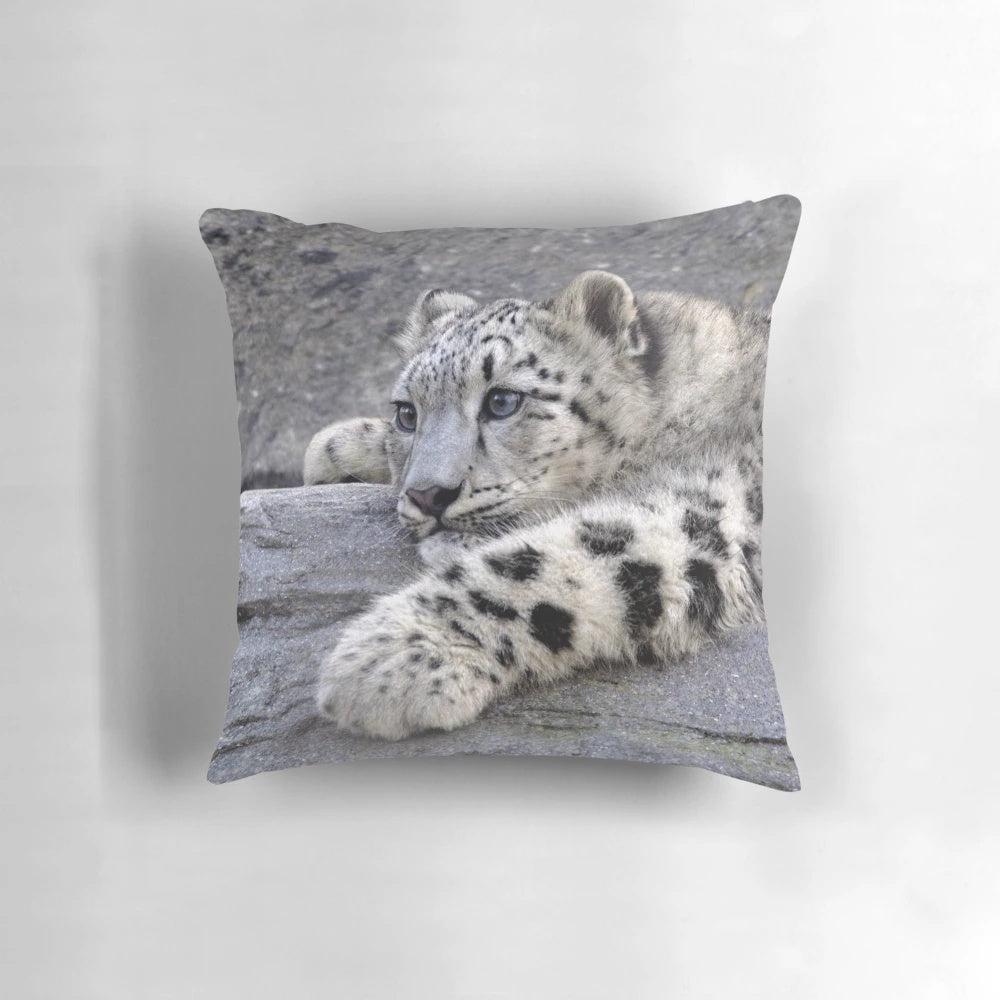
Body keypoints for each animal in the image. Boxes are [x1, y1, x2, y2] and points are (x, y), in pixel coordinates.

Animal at [303, 270, 768, 740]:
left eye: (502, 401)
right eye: (406, 413)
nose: (427, 494)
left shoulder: (708, 505)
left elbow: (542, 563)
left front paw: (384, 658)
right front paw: (335, 449)